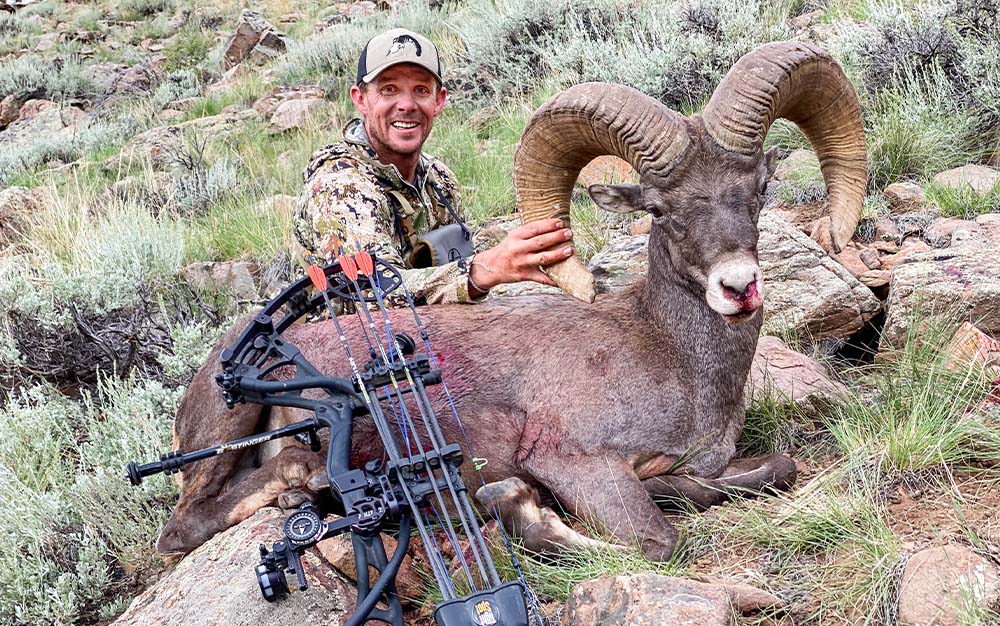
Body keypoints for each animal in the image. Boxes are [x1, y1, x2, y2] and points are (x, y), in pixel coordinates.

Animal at [157, 40, 867, 562]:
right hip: (231, 428)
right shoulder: (574, 460)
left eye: (758, 189)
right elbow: (655, 540)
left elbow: (774, 468)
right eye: (661, 209)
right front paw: (521, 507)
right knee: (184, 526)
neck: (676, 361)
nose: (738, 287)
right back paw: (305, 480)